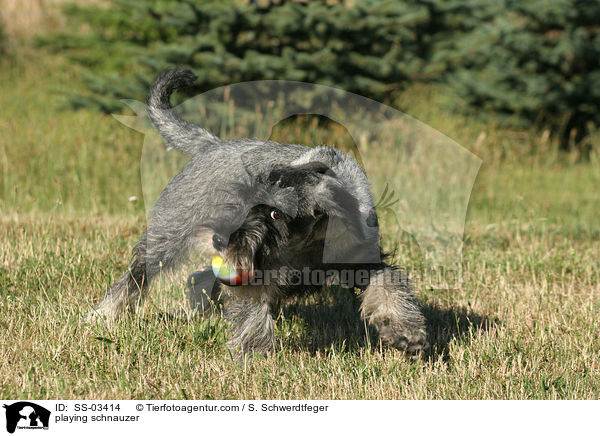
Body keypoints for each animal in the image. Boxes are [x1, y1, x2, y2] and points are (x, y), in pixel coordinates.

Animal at [90, 70, 426, 358]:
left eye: (276, 214)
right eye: (245, 199)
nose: (220, 239)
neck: (310, 241)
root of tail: (211, 146)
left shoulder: (364, 261)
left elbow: (388, 285)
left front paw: (406, 333)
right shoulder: (252, 275)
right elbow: (252, 313)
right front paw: (256, 355)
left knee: (199, 278)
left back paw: (204, 315)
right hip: (167, 238)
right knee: (137, 277)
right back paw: (103, 316)